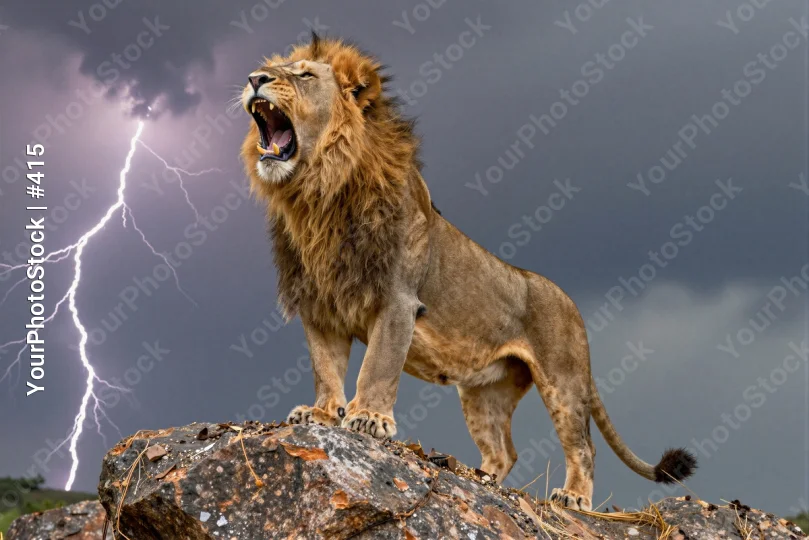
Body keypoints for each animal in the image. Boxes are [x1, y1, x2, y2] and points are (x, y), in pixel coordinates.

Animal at [239, 35, 696, 510]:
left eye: (305, 75)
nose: (254, 79)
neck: (318, 196)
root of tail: (572, 304)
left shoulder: (398, 301)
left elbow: (377, 366)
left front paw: (367, 419)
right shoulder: (320, 306)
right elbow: (326, 368)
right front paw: (323, 413)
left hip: (564, 382)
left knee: (583, 446)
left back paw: (572, 498)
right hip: (483, 394)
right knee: (504, 450)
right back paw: (482, 479)